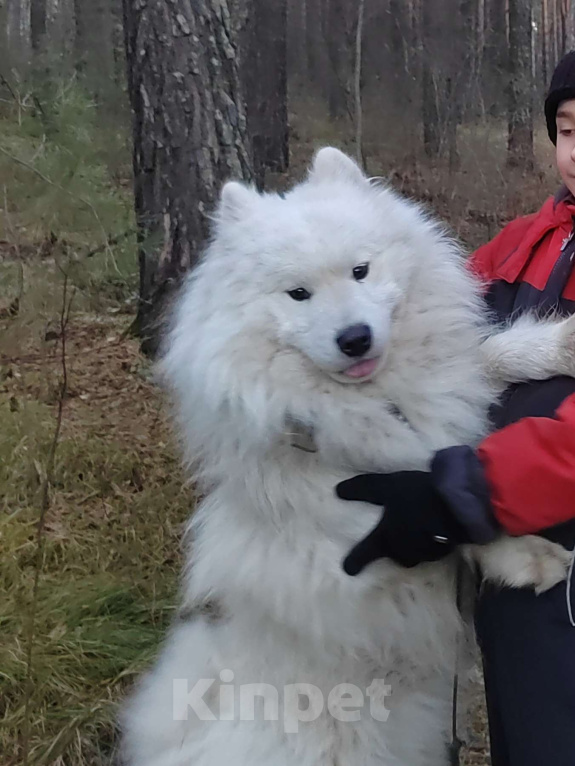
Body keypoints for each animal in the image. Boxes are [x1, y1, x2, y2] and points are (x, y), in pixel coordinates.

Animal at [120, 150, 572, 766]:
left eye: (361, 271)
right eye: (298, 294)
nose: (355, 338)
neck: (379, 397)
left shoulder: (443, 390)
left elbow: (491, 356)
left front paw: (561, 345)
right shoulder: (344, 522)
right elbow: (439, 513)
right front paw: (530, 556)